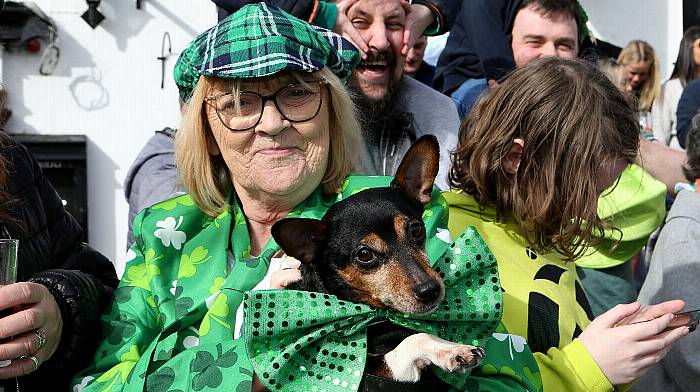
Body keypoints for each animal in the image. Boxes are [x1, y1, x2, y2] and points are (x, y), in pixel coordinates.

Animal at [270, 136, 484, 388]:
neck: (376, 316)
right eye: (364, 255)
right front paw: (451, 350)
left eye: (417, 231)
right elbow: (416, 338)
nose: (430, 290)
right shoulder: (368, 372)